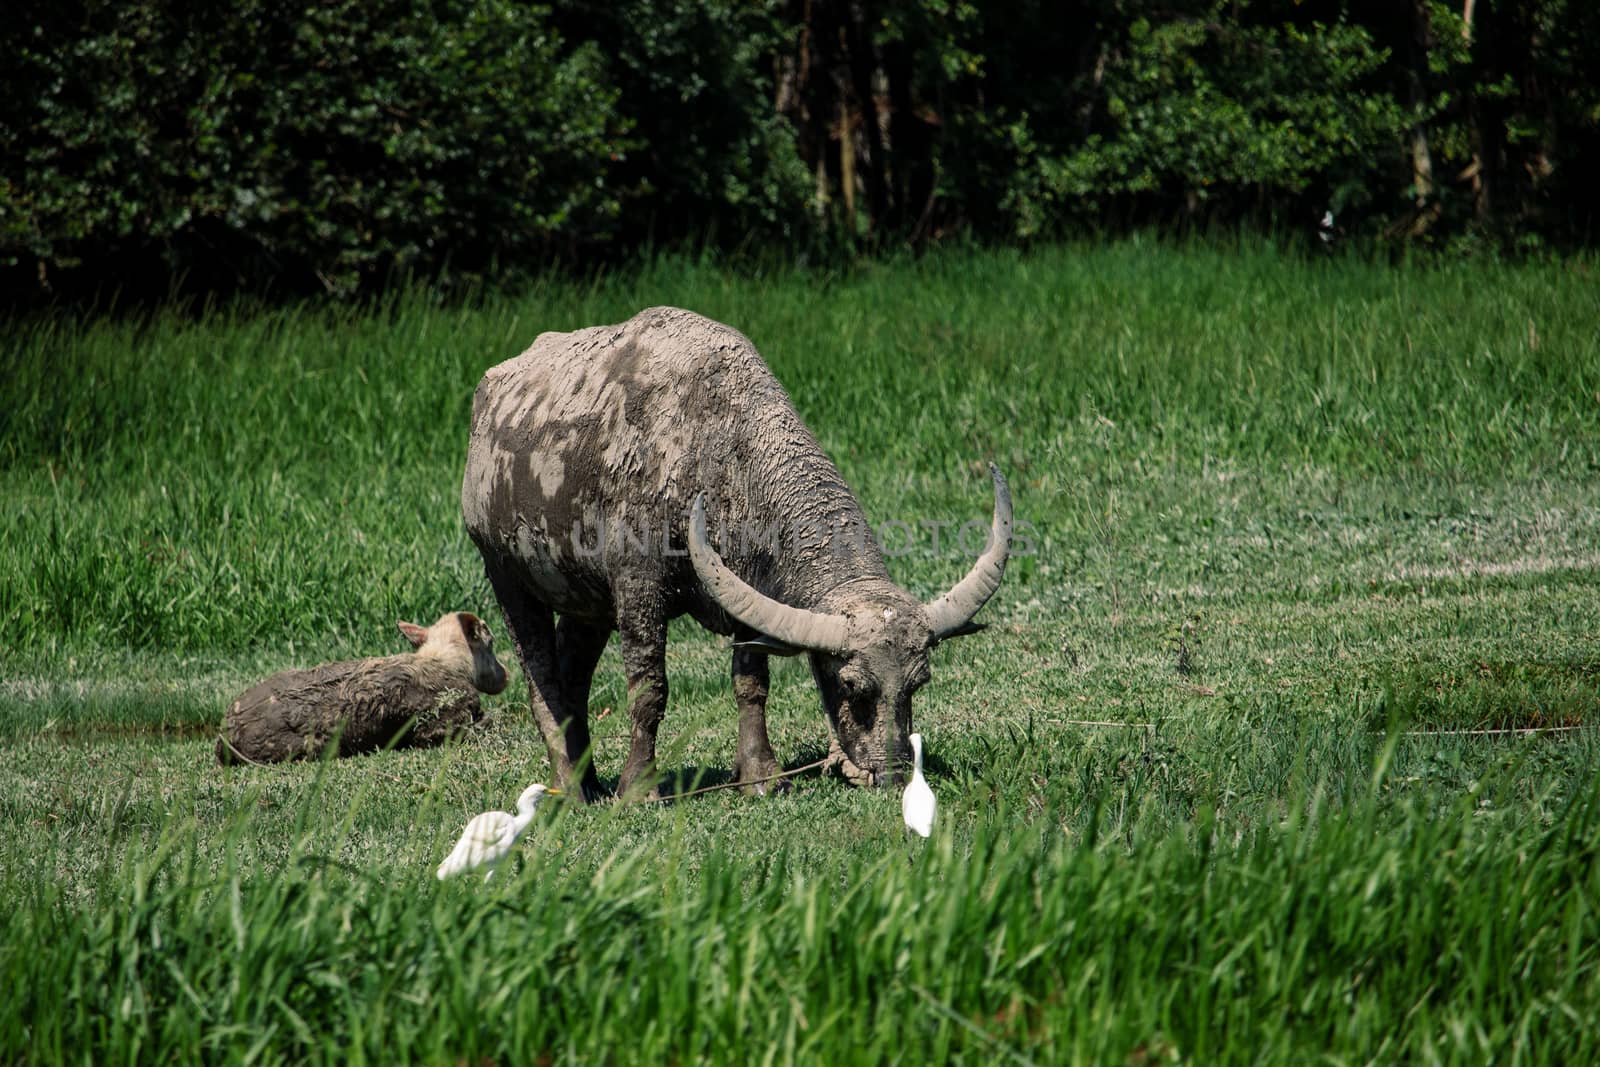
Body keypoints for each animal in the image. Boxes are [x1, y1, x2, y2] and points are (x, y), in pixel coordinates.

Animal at [464, 303, 1011, 796]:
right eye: (853, 685)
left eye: (918, 684)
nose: (894, 773)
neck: (712, 450)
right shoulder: (638, 590)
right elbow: (649, 690)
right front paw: (639, 787)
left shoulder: (746, 587)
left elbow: (752, 683)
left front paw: (760, 776)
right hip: (505, 574)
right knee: (542, 679)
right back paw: (569, 788)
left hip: (587, 601)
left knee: (572, 675)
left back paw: (588, 778)